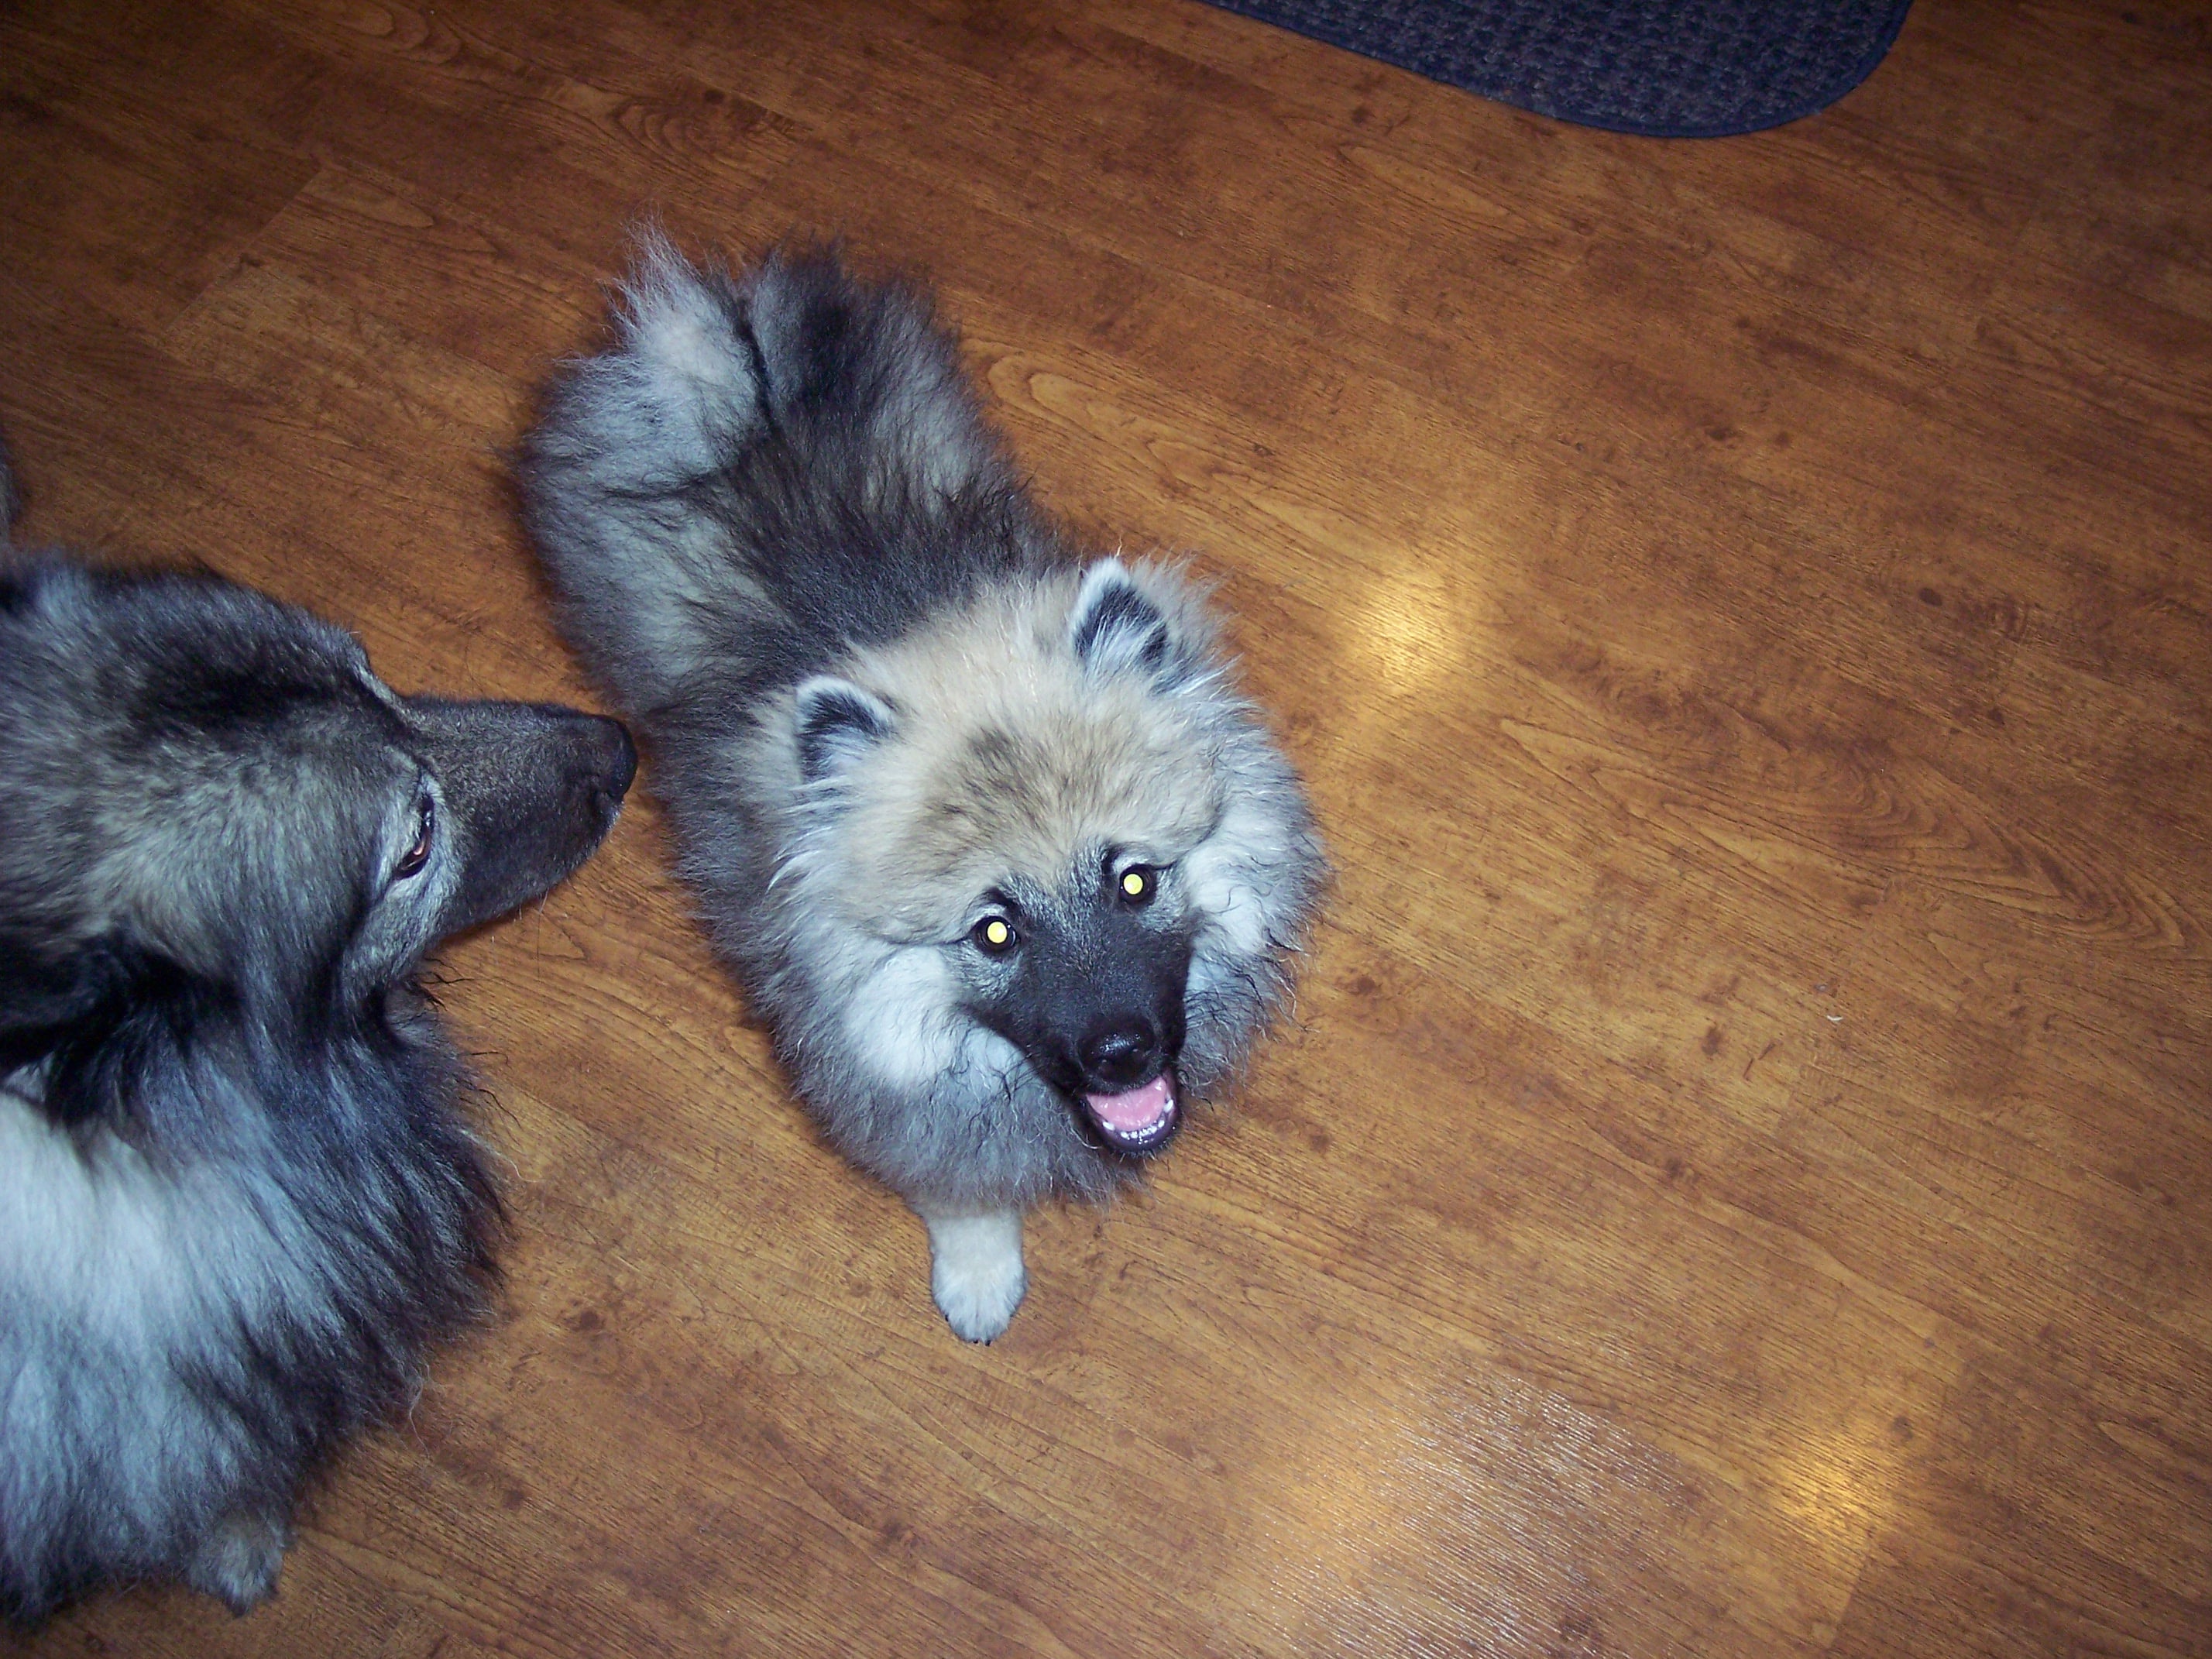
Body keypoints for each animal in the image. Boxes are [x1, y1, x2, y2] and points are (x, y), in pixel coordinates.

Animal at [517, 238, 1325, 1341]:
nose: (1121, 1052)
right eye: (994, 931)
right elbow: (958, 1190)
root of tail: (716, 359)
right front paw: (979, 1273)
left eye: (1135, 882)